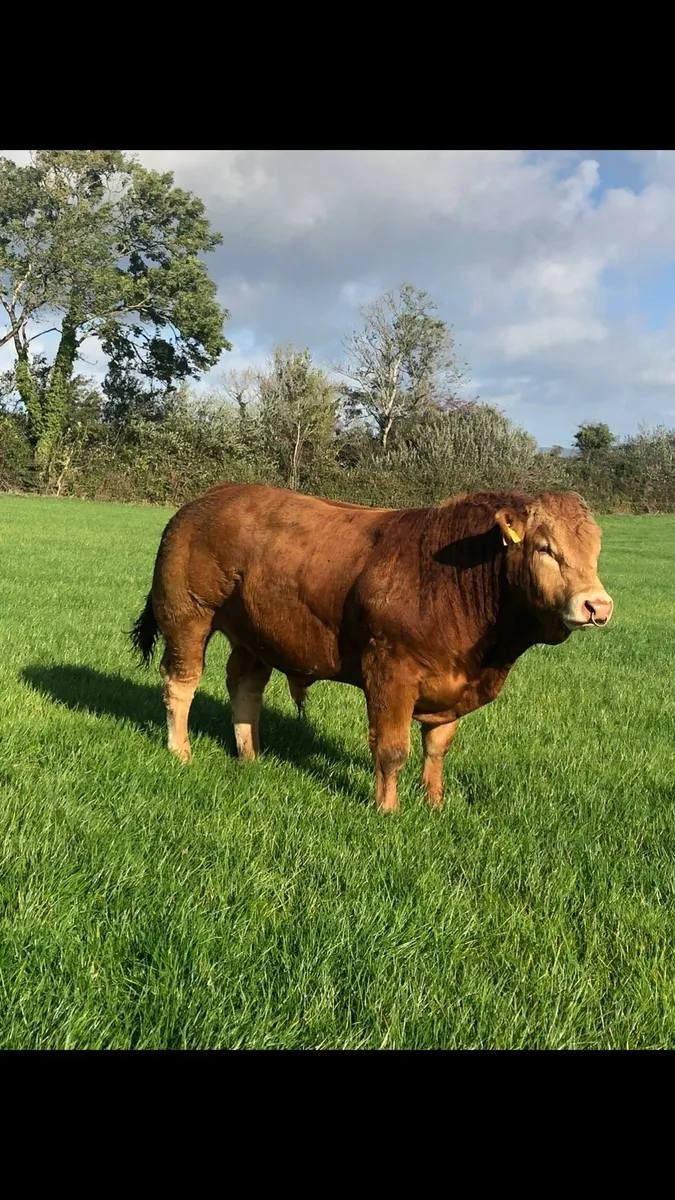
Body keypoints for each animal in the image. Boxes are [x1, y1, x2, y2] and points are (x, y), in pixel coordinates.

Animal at [130, 482, 610, 811]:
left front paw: (434, 803)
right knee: (181, 684)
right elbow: (392, 749)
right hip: (187, 616)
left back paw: (250, 756)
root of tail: (206, 498)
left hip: (254, 632)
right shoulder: (390, 670)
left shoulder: (453, 685)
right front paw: (388, 809)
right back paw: (181, 751)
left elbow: (437, 747)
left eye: (596, 551)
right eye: (545, 548)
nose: (597, 605)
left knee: (245, 685)